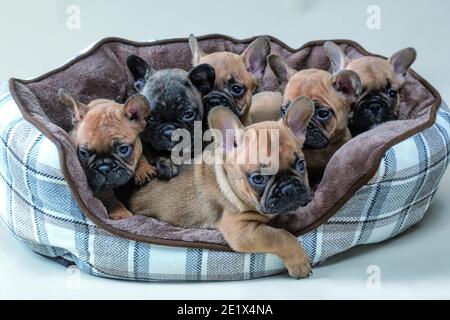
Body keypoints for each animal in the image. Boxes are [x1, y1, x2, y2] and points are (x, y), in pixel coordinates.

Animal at [59, 89, 156, 220]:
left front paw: (143, 170)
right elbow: (109, 197)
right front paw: (120, 213)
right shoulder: (100, 187)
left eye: (123, 149)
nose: (104, 167)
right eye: (84, 153)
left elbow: (140, 155)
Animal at [128, 97, 314, 278]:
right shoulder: (240, 230)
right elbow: (279, 236)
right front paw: (299, 262)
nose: (289, 188)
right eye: (258, 178)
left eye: (301, 164)